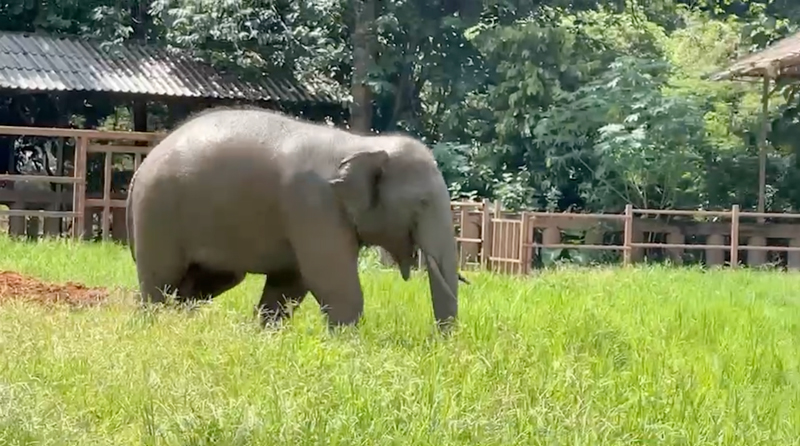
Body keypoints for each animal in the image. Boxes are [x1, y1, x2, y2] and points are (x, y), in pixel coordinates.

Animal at [126, 106, 462, 332]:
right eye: (423, 202)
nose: (440, 344)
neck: (360, 143)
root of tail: (138, 172)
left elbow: (290, 283)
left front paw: (266, 335)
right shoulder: (312, 204)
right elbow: (329, 279)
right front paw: (348, 345)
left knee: (200, 284)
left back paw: (181, 326)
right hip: (157, 214)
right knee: (159, 283)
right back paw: (153, 328)